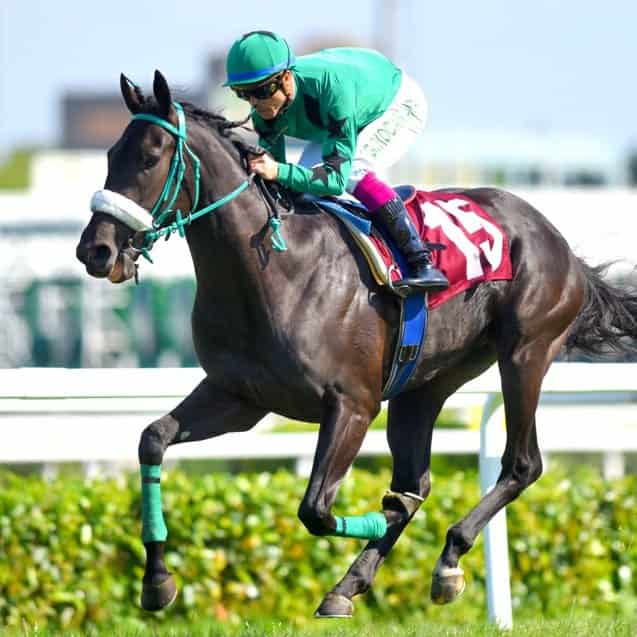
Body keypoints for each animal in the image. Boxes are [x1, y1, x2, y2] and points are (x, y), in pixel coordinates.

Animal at [76, 70, 637, 617]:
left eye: (149, 158)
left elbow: (316, 509)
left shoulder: (353, 404)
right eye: (108, 156)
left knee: (521, 465)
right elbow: (153, 439)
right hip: (425, 383)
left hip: (525, 351)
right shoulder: (239, 397)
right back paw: (357, 583)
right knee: (417, 480)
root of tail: (558, 242)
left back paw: (446, 557)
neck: (273, 271)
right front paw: (157, 581)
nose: (95, 250)